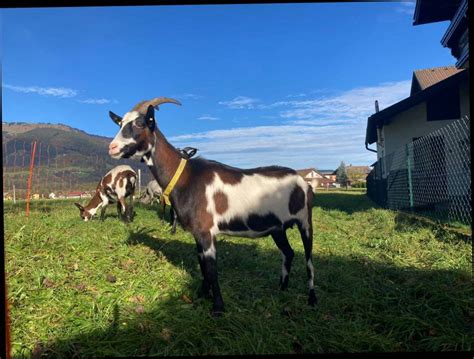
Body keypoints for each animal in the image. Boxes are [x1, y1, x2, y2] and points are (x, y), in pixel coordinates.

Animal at [106, 98, 316, 316]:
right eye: (120, 123)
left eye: (140, 124)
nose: (112, 147)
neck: (186, 177)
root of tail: (303, 181)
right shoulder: (198, 232)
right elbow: (202, 265)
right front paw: (201, 294)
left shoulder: (207, 231)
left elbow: (211, 269)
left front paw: (218, 307)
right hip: (277, 228)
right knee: (288, 253)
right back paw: (281, 288)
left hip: (305, 222)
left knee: (309, 260)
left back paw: (312, 299)